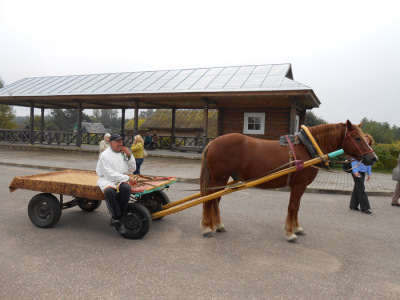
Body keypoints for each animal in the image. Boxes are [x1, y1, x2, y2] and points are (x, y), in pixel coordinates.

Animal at [200, 120, 378, 243]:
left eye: (364, 138)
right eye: (357, 138)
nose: (373, 158)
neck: (308, 148)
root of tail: (213, 142)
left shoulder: (300, 187)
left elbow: (296, 207)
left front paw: (297, 228)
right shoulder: (299, 185)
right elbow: (293, 207)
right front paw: (290, 233)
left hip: (222, 179)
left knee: (215, 200)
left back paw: (218, 225)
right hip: (219, 178)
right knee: (208, 201)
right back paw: (207, 228)